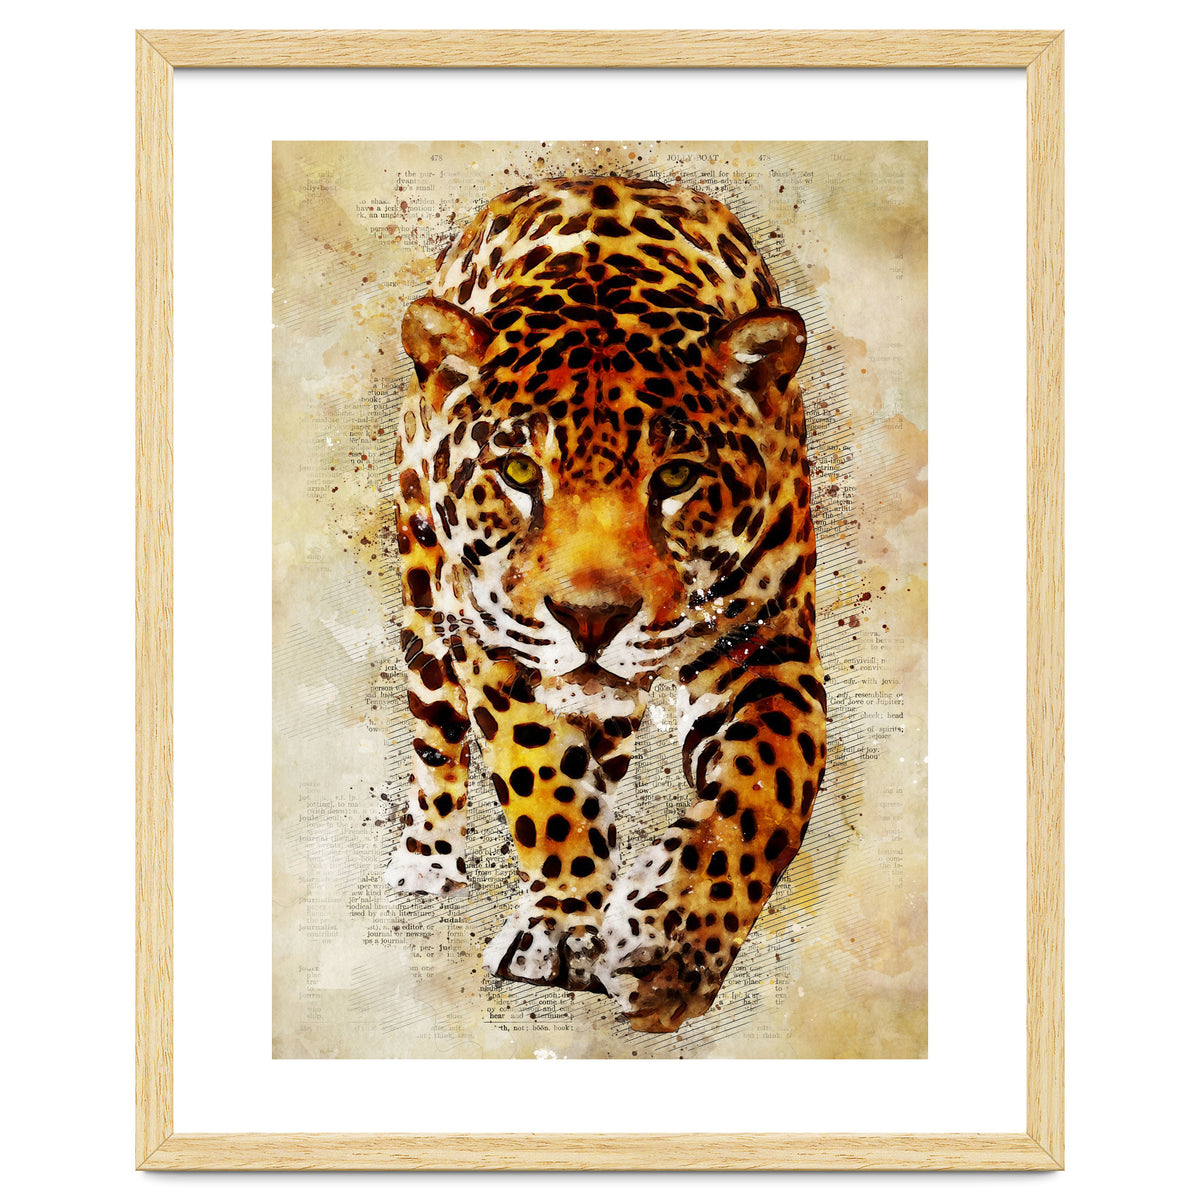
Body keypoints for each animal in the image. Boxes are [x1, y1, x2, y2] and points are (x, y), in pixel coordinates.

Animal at [384, 175, 826, 1033]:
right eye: (519, 472)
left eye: (677, 476)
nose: (591, 619)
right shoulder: (496, 640)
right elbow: (540, 774)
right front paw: (562, 928)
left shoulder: (769, 644)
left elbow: (767, 790)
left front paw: (668, 944)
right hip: (426, 599)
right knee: (436, 733)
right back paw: (427, 860)